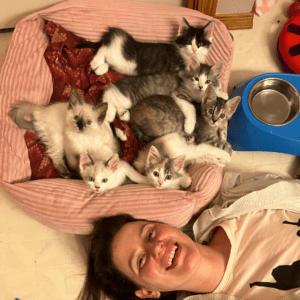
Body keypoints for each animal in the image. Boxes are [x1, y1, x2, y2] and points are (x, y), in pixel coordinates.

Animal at [76, 17, 214, 77]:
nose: (194, 50)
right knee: (103, 49)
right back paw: (95, 63)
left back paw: (99, 68)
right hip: (122, 54)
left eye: (200, 44)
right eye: (189, 42)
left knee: (106, 60)